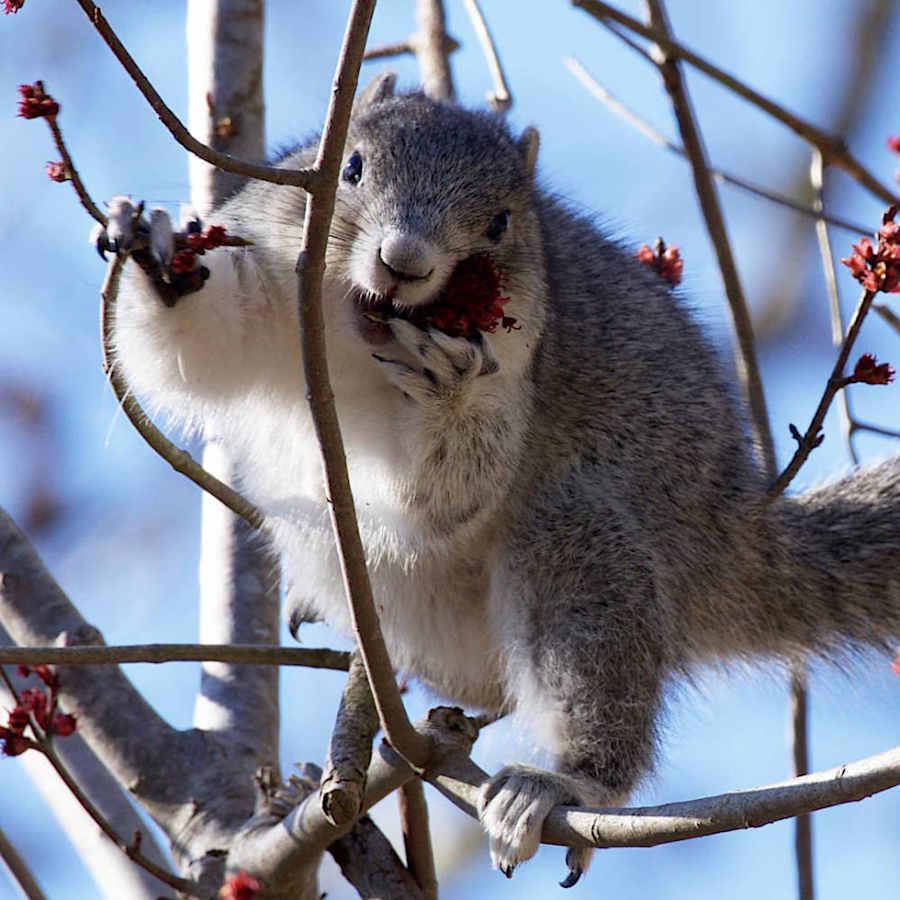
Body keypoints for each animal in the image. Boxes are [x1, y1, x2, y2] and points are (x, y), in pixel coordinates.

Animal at [106, 73, 900, 885]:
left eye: (500, 222)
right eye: (350, 167)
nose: (405, 259)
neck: (353, 342)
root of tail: (734, 537)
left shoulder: (519, 365)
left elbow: (451, 492)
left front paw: (452, 391)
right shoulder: (264, 287)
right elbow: (198, 346)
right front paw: (165, 268)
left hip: (582, 551)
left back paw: (560, 784)